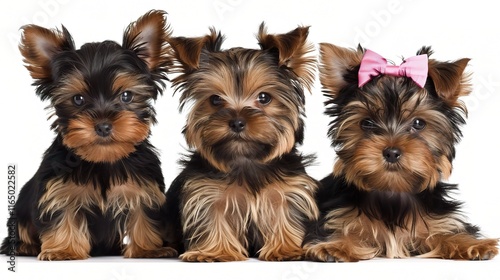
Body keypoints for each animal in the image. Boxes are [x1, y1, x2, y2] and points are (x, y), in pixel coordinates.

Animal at [0, 10, 180, 260]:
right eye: (78, 99)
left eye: (126, 96)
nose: (103, 126)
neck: (103, 159)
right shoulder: (58, 190)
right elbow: (62, 215)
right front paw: (63, 249)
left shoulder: (143, 188)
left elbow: (143, 216)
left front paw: (148, 249)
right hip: (20, 208)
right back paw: (25, 246)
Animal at [165, 23, 320, 262]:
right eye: (215, 99)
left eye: (264, 97)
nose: (237, 122)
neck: (245, 158)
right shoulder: (206, 191)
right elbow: (212, 217)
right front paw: (215, 251)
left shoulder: (287, 189)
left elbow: (284, 212)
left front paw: (285, 249)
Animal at [302, 43, 498, 260]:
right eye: (366, 123)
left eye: (419, 123)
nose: (391, 153)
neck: (393, 191)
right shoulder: (337, 217)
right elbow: (342, 230)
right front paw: (334, 246)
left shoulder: (437, 220)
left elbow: (447, 232)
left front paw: (473, 244)